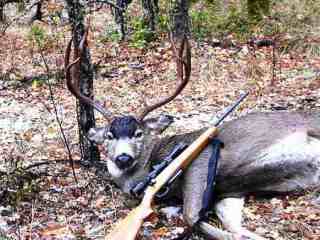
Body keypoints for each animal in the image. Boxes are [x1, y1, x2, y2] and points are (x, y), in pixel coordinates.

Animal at [65, 32, 320, 240]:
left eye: (138, 133)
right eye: (109, 135)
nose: (123, 158)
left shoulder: (201, 158)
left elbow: (191, 216)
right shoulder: (228, 193)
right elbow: (232, 225)